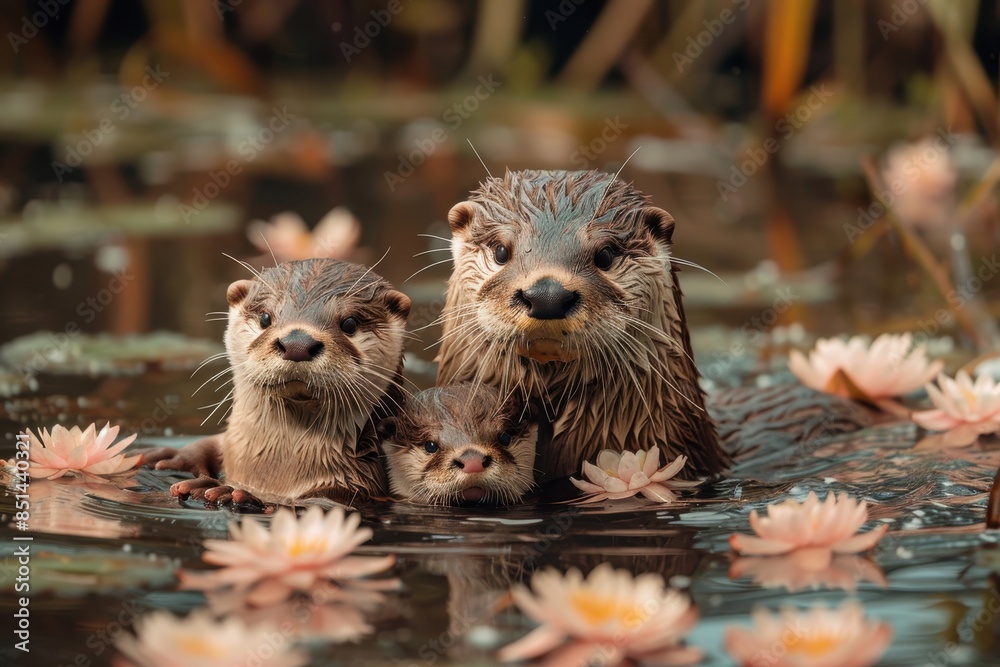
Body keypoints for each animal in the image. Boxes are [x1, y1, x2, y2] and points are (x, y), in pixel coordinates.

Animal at [146, 258, 410, 506]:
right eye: (265, 317)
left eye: (350, 323)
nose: (297, 344)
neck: (277, 468)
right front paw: (173, 458)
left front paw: (235, 493)